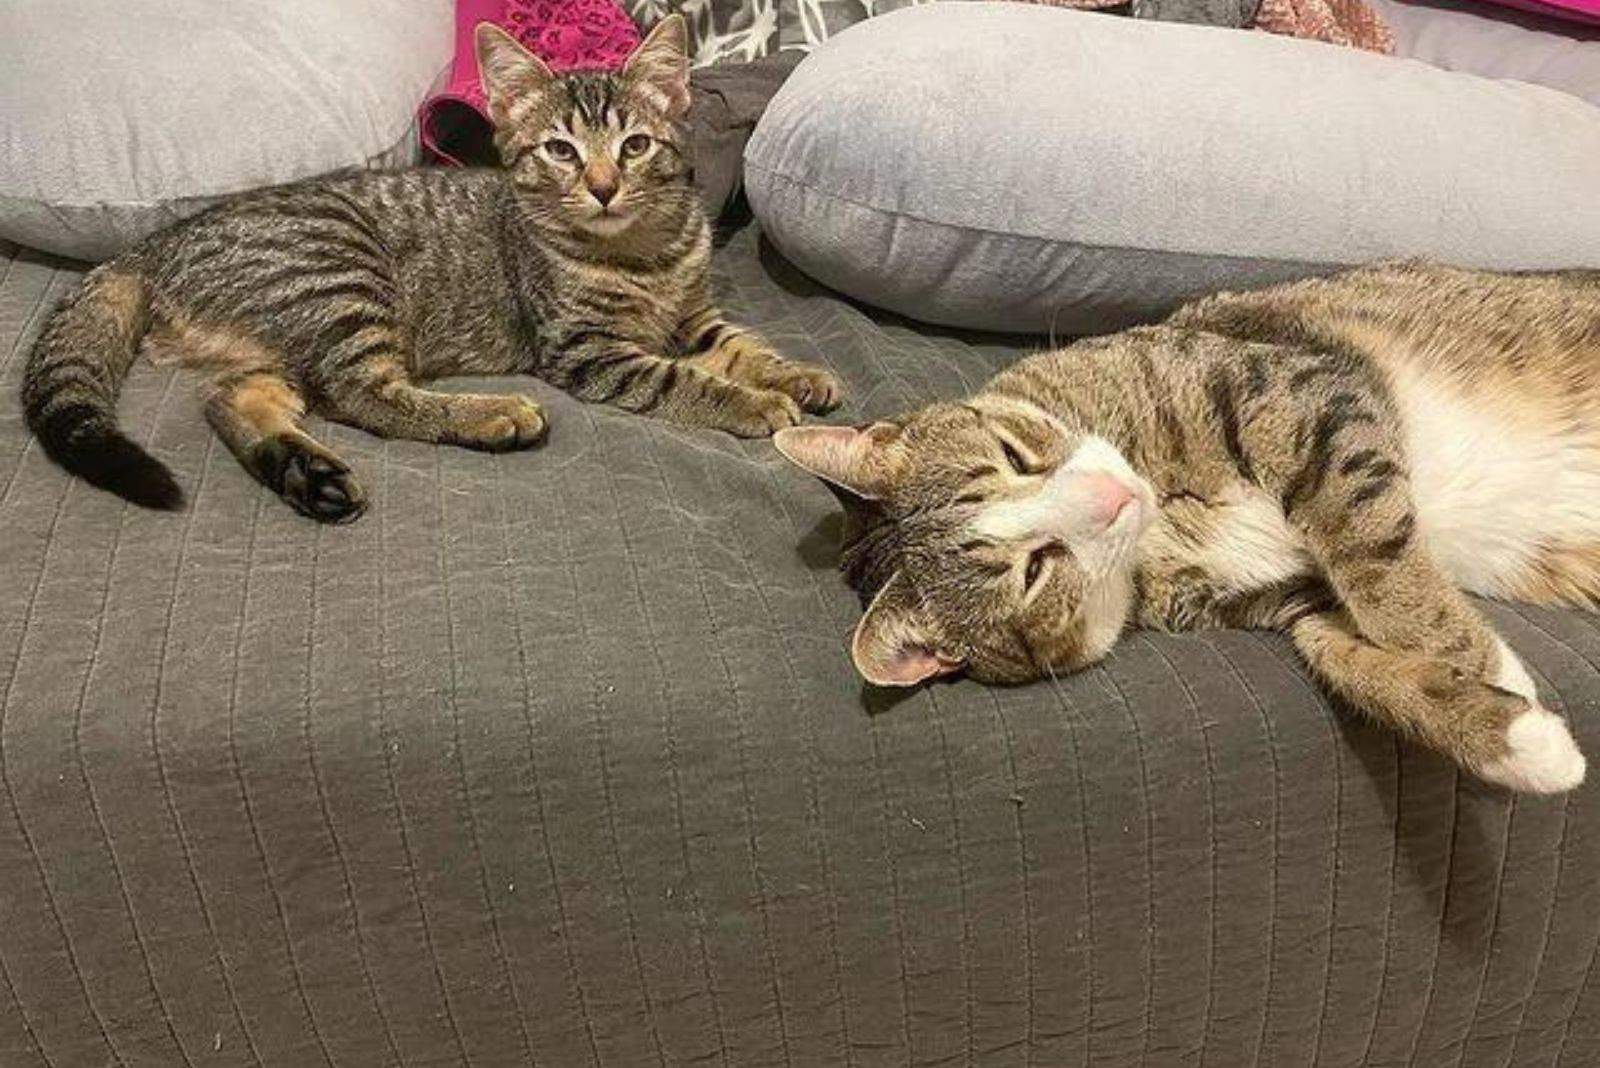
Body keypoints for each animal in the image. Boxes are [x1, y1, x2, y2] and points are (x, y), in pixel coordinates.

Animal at [21, 14, 838, 518]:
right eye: (560, 151)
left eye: (635, 145)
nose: (604, 187)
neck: (643, 251)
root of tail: (152, 243)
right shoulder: (588, 349)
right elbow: (680, 379)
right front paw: (753, 405)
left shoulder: (694, 314)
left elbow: (741, 345)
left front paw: (795, 374)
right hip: (343, 279)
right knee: (364, 393)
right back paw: (490, 414)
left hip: (278, 342)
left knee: (229, 400)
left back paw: (308, 474)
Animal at [777, 262, 1600, 789]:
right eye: (1035, 570)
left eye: (1013, 455)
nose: (1113, 496)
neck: (1161, 528)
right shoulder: (1281, 599)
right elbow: (1342, 654)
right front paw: (1517, 732)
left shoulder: (1300, 393)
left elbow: (1375, 559)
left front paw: (1480, 663)